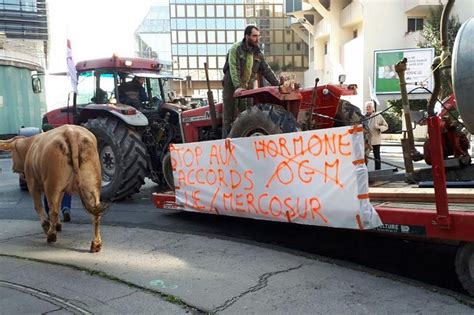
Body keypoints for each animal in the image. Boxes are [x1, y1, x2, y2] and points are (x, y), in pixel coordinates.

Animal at [0, 124, 105, 253]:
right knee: (95, 213)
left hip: (52, 185)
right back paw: (96, 244)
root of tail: (71, 132)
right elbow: (59, 204)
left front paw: (47, 225)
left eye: (13, 152)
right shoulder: (62, 190)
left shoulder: (32, 184)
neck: (30, 146)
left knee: (53, 209)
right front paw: (58, 225)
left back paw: (51, 235)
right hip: (91, 185)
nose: (13, 168)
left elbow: (39, 206)